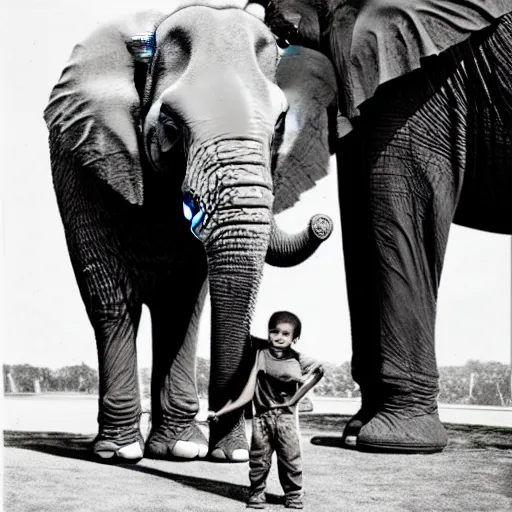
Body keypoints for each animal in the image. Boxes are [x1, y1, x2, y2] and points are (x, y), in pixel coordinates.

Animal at [44, 1, 338, 464]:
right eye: (170, 125)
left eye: (279, 126)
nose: (322, 222)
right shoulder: (87, 159)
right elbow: (112, 290)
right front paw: (126, 452)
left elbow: (186, 295)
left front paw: (206, 452)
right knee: (113, 302)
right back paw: (124, 449)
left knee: (175, 306)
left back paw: (179, 448)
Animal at [260, 0, 512, 454]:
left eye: (285, 36)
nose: (319, 222)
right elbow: (360, 214)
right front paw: (355, 433)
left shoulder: (427, 71)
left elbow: (402, 199)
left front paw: (397, 442)